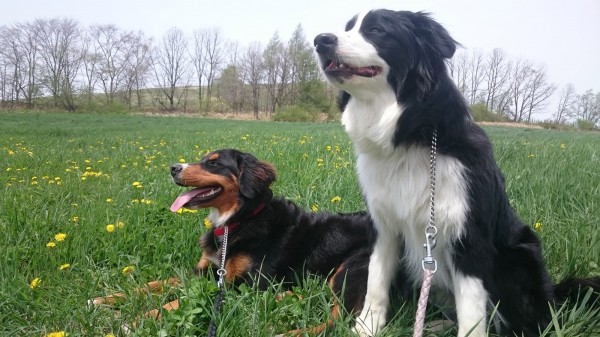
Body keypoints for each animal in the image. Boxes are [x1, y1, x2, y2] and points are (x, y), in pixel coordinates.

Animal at [314, 8, 600, 336]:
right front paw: (367, 328)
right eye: (348, 27)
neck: (410, 137)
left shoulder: (468, 238)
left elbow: (472, 311)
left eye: (376, 30)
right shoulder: (383, 227)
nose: (320, 41)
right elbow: (376, 283)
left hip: (517, 257)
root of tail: (554, 295)